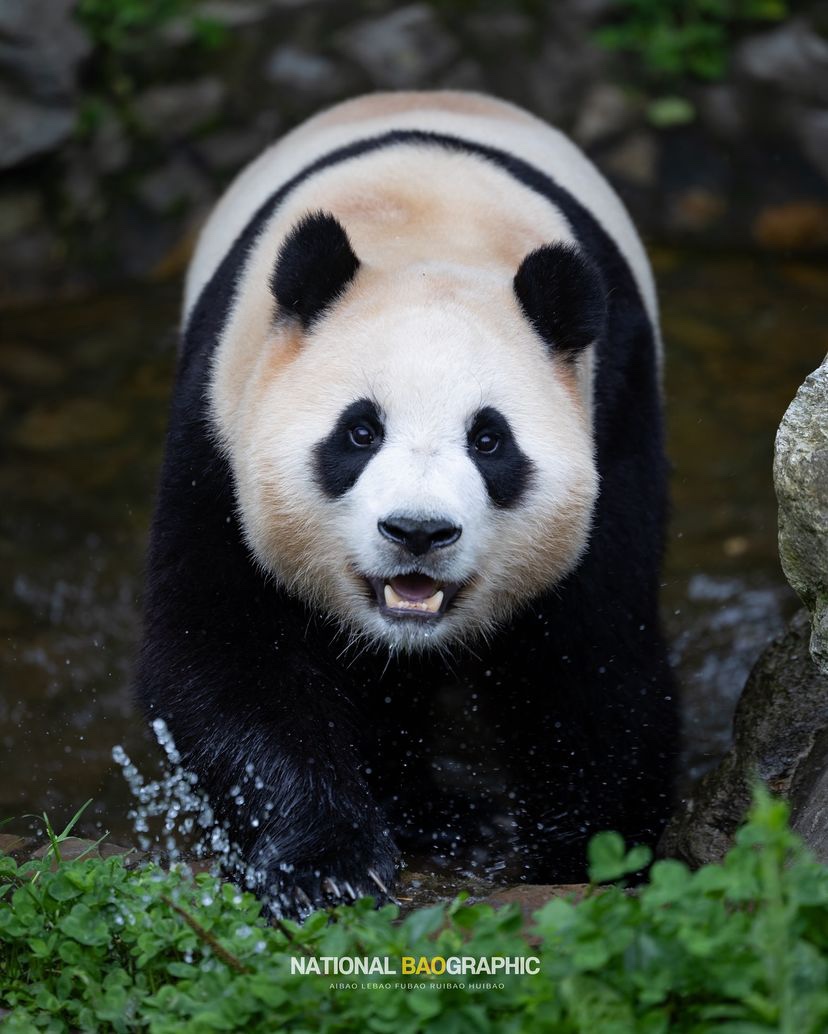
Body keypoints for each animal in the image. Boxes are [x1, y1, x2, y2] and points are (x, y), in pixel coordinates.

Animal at [137, 90, 678, 914]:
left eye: (489, 441)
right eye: (360, 432)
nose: (418, 532)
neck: (430, 229)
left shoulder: (613, 414)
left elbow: (594, 657)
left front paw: (585, 856)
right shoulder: (219, 420)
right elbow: (221, 641)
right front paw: (325, 862)